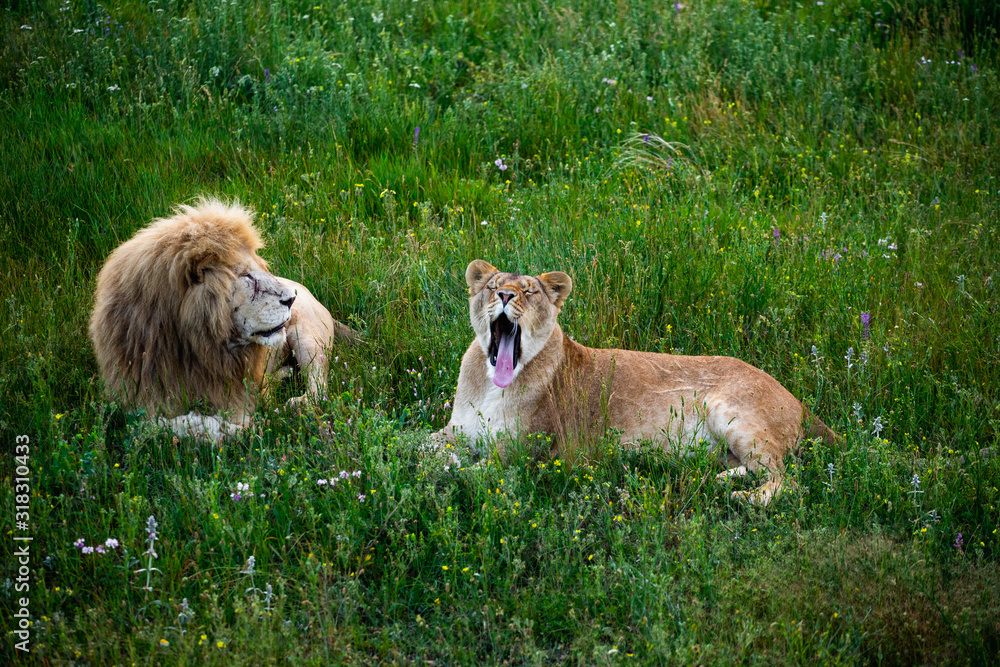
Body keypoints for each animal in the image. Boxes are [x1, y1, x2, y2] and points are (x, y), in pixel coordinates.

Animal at [89, 198, 356, 442]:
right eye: (248, 276)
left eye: (260, 269)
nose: (291, 298)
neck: (190, 347)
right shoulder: (134, 401)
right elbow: (153, 425)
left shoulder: (238, 395)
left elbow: (229, 427)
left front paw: (239, 425)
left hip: (308, 337)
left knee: (318, 386)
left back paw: (295, 402)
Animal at [435, 259, 838, 506]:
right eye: (492, 287)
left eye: (529, 292)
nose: (505, 296)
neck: (492, 385)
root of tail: (799, 401)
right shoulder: (454, 429)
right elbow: (427, 444)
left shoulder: (523, 451)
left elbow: (469, 471)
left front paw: (445, 472)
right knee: (757, 466)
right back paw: (723, 479)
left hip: (732, 414)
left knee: (789, 479)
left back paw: (743, 498)